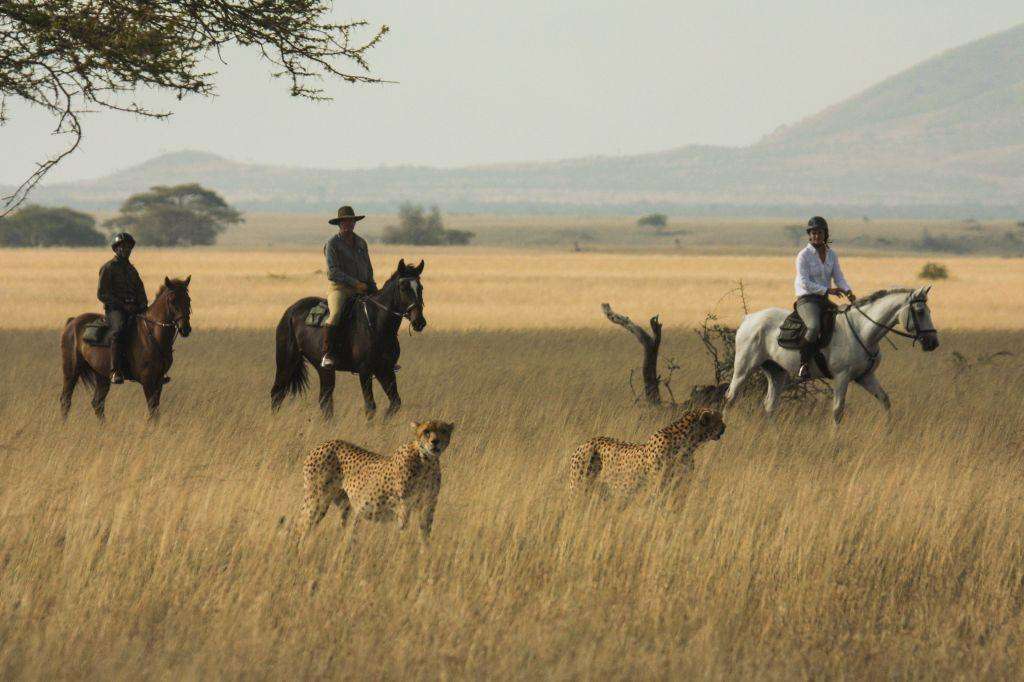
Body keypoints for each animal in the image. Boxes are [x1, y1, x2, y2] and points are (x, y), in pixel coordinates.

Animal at [60, 276, 193, 421]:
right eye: (172, 300)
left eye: (188, 299)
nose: (185, 328)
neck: (152, 335)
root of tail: (72, 323)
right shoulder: (148, 380)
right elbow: (152, 409)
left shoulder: (158, 380)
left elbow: (155, 411)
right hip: (71, 372)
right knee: (66, 400)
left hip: (102, 375)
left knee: (97, 403)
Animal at [271, 259, 427, 420]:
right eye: (403, 287)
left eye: (420, 288)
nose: (419, 322)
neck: (377, 324)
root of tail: (291, 311)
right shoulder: (365, 371)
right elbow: (370, 407)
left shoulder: (385, 370)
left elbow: (395, 402)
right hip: (286, 362)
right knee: (277, 393)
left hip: (324, 369)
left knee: (325, 400)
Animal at [724, 286, 939, 425]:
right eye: (920, 311)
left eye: (929, 310)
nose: (933, 343)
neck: (862, 330)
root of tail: (749, 319)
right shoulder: (842, 377)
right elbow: (837, 411)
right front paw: (834, 441)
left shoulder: (865, 376)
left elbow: (885, 401)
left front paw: (888, 431)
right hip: (744, 369)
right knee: (730, 398)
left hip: (776, 371)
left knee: (770, 404)